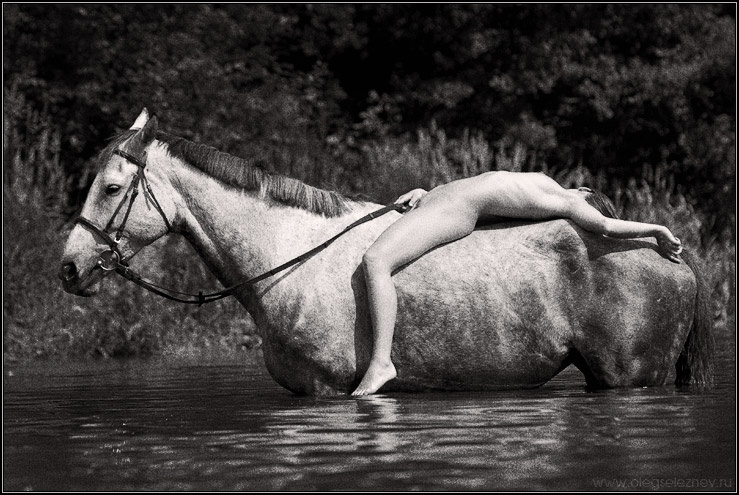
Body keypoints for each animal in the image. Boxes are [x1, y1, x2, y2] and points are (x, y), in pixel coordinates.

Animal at [59, 109, 714, 395]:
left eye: (111, 188)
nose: (68, 268)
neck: (288, 259)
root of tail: (676, 261)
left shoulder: (323, 393)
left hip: (633, 377)